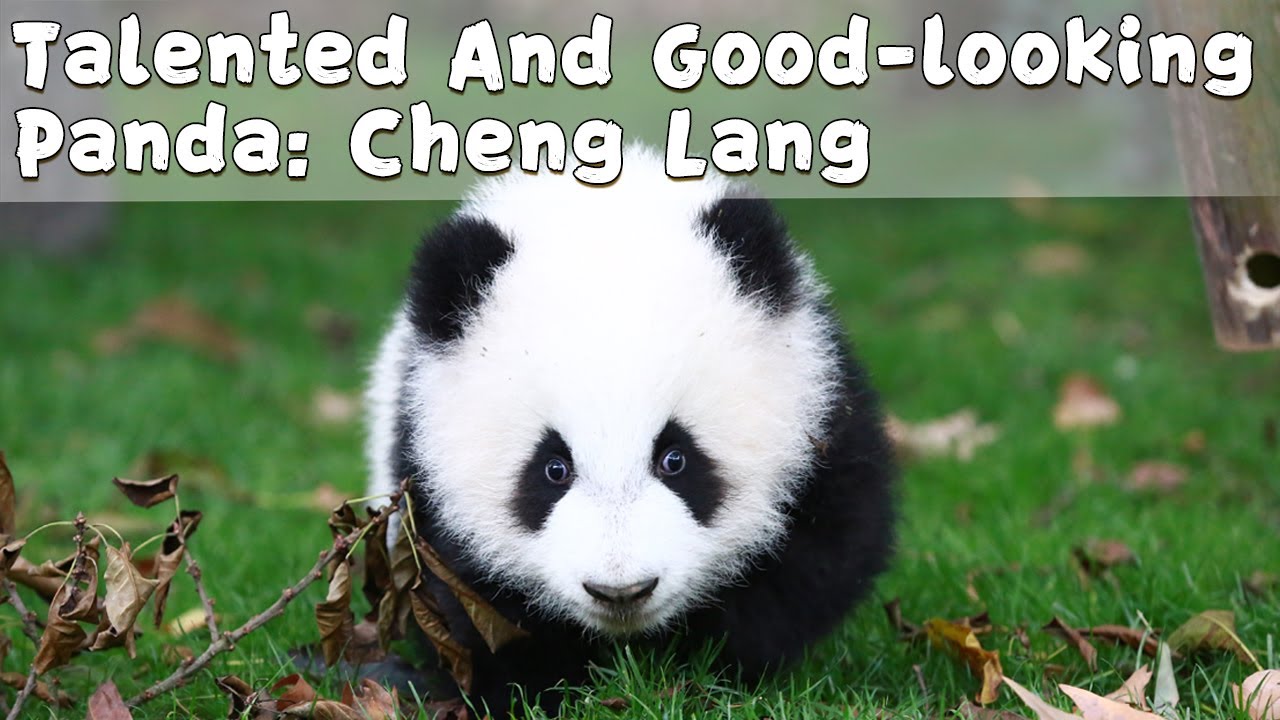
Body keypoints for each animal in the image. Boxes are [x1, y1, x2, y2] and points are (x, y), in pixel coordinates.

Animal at [365, 147, 896, 715]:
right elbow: (464, 597)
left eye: (675, 458)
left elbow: (818, 557)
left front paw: (713, 671)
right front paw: (532, 692)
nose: (621, 591)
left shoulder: (823, 416)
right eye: (553, 468)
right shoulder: (418, 464)